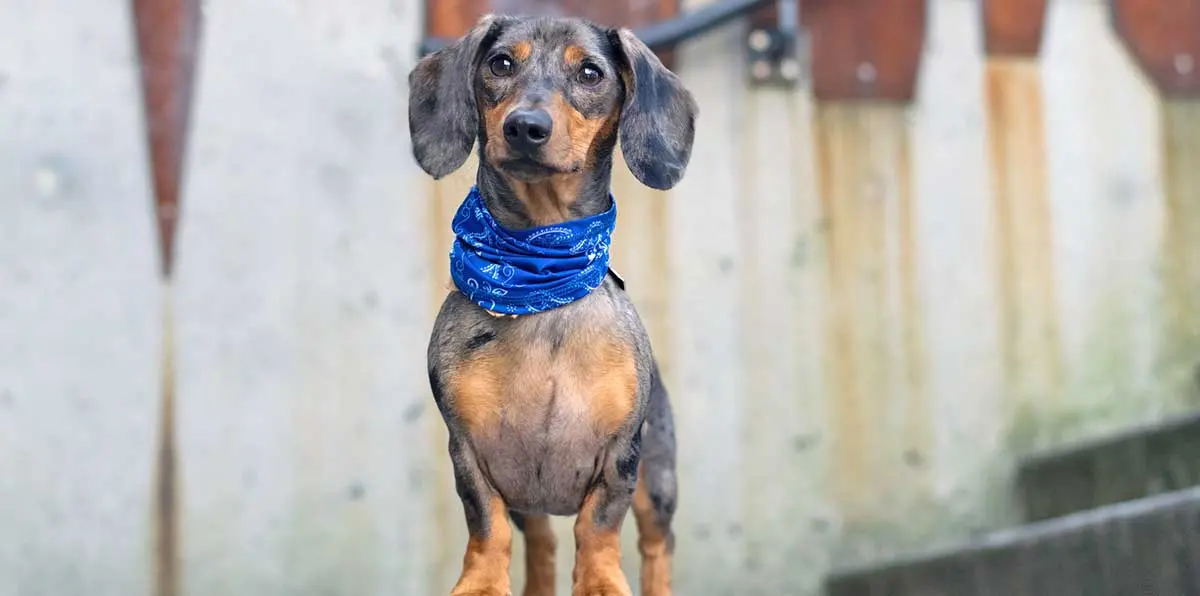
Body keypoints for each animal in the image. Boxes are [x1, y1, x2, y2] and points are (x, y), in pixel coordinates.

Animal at [410, 15, 700, 594]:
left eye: (590, 73)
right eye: (500, 63)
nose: (525, 127)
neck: (540, 278)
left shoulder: (621, 454)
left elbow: (598, 526)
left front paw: (600, 580)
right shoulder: (469, 452)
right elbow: (487, 524)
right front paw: (481, 581)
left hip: (658, 480)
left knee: (658, 545)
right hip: (530, 499)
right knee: (541, 541)